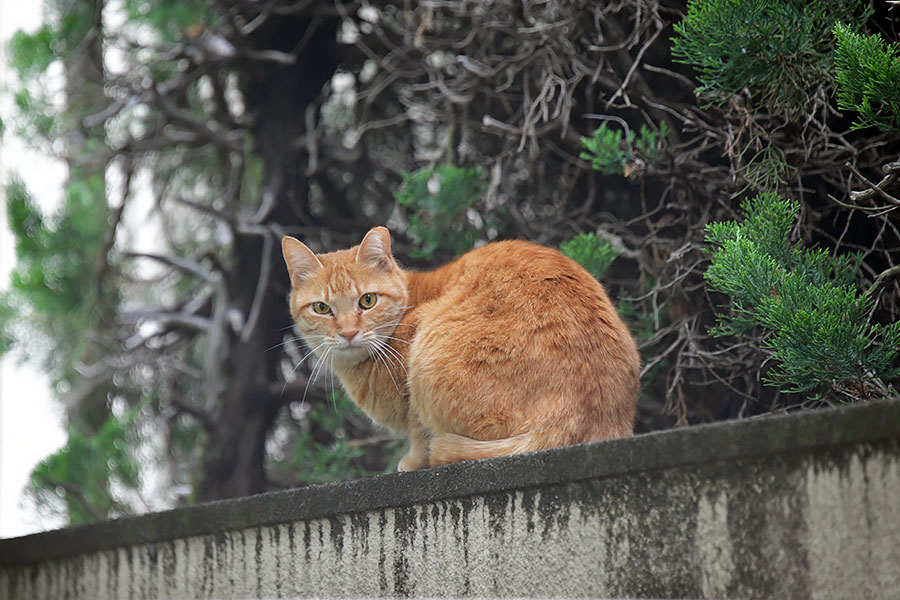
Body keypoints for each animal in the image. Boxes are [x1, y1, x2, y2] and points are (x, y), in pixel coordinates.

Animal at [282, 227, 640, 472]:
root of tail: (587, 414)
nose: (348, 333)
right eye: (322, 308)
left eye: (367, 301)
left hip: (428, 354)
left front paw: (414, 460)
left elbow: (419, 430)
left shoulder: (416, 346)